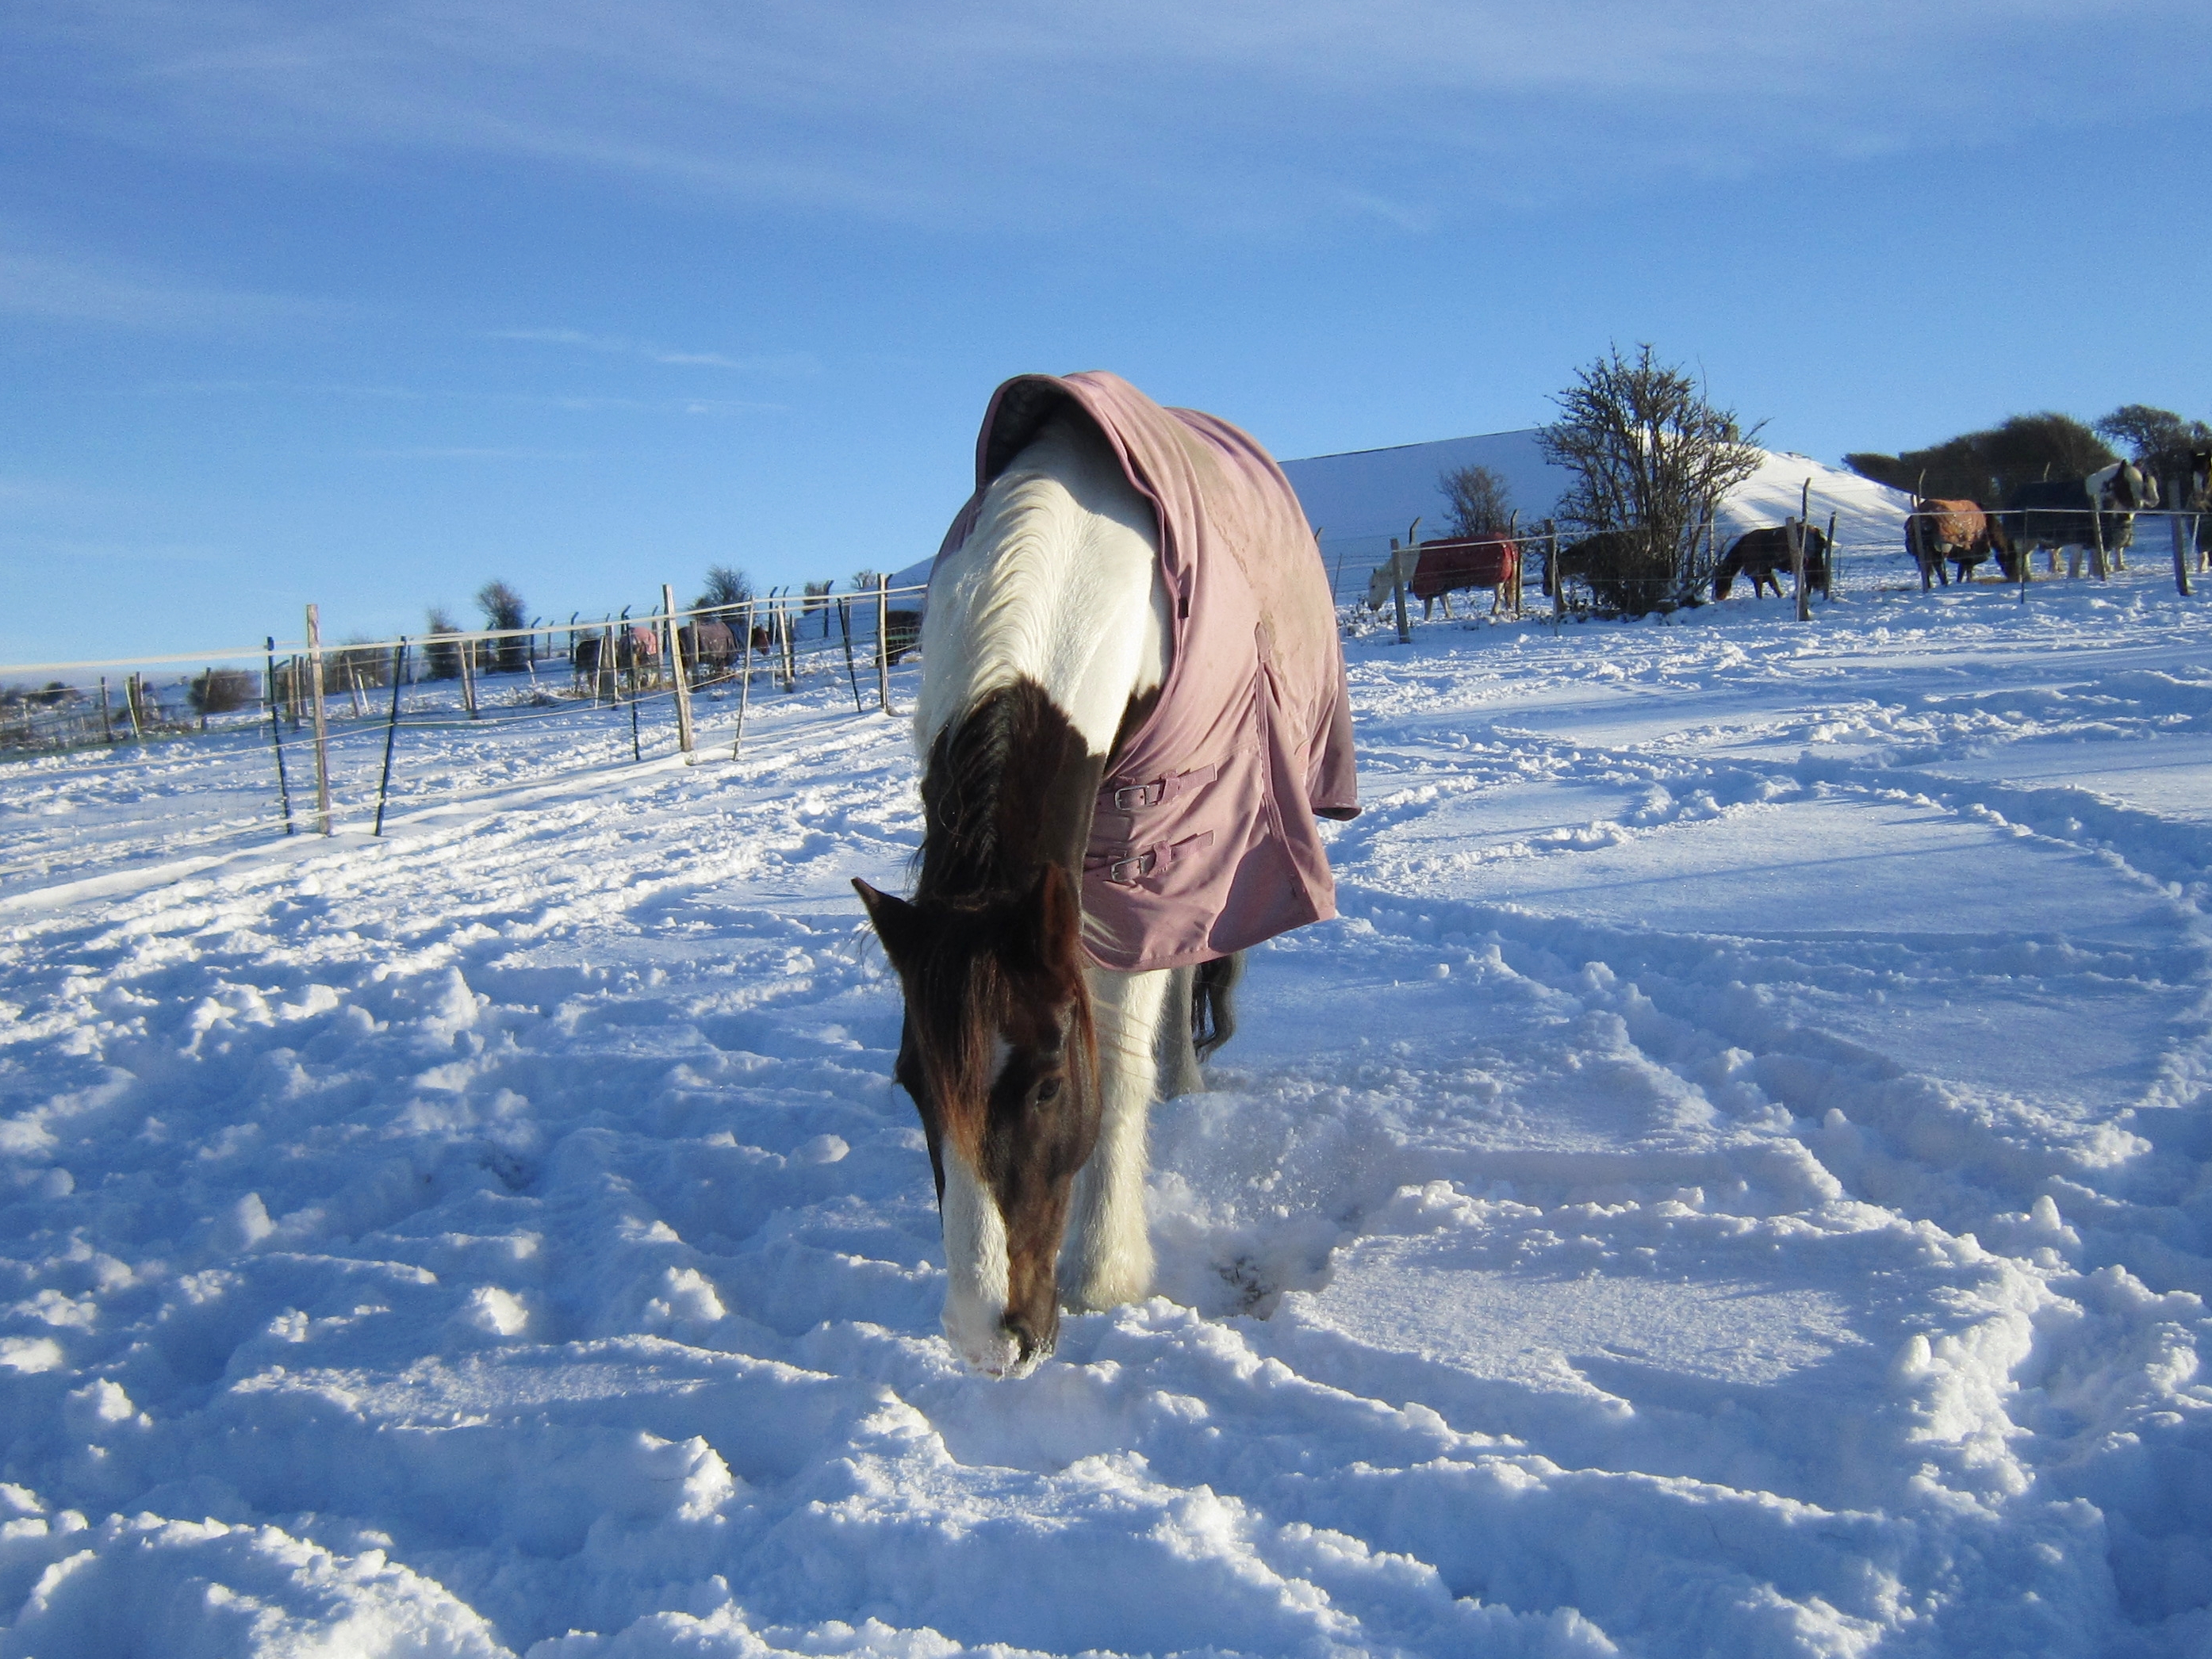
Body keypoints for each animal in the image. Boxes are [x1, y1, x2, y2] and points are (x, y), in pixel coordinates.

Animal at [852, 372, 1357, 1378]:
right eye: (910, 1084)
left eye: (1048, 1085)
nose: (987, 1342)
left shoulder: (1151, 847)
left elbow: (1119, 1050)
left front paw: (1105, 1271)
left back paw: (1183, 1082)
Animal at [1365, 535, 1522, 620]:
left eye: (1373, 586)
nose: (1371, 606)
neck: (1412, 562)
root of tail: (1508, 543)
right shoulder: (1440, 588)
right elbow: (1444, 603)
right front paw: (1450, 616)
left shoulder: (1428, 589)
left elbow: (1428, 608)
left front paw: (1427, 620)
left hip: (1499, 580)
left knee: (1498, 596)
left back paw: (1494, 611)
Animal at [1712, 525, 1831, 601]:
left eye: (1720, 578)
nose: (1718, 597)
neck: (1742, 549)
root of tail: (1816, 532)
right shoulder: (1766, 568)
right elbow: (1773, 584)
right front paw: (1781, 595)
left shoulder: (1755, 569)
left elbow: (1760, 586)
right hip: (1814, 560)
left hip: (1807, 561)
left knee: (1810, 578)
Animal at [1907, 500, 2019, 588]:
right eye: (2012, 557)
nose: (2015, 578)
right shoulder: (1971, 553)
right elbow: (1967, 570)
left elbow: (1962, 571)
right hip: (1939, 547)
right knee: (1937, 566)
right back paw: (1944, 584)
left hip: (1922, 549)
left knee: (1927, 568)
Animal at [2003, 463, 2158, 578]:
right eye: (2125, 484)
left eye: (2142, 485)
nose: (2136, 505)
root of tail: (2016, 492)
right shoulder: (2079, 537)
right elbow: (2077, 562)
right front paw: (2075, 578)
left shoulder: (2099, 539)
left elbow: (2097, 561)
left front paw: (2097, 576)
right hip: (2023, 538)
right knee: (2021, 558)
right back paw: (2025, 578)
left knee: (2026, 557)